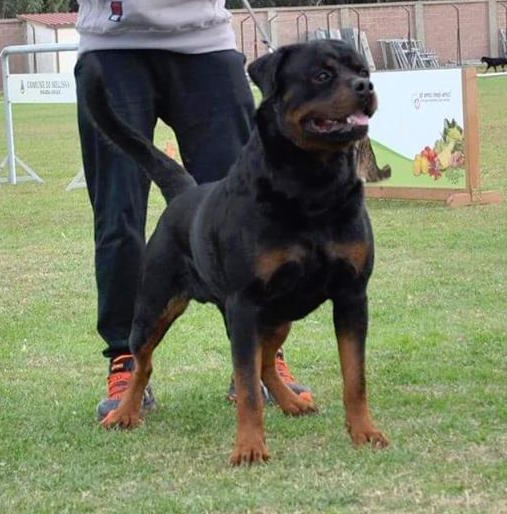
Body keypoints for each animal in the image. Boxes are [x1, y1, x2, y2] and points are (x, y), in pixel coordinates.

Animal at [82, 41, 388, 464]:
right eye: (322, 75)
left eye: (362, 70)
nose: (366, 86)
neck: (312, 184)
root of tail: (186, 192)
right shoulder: (245, 302)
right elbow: (245, 388)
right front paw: (248, 447)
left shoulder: (352, 294)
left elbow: (355, 376)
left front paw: (364, 432)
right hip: (154, 307)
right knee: (143, 362)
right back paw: (124, 412)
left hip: (277, 315)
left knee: (266, 361)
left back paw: (291, 402)